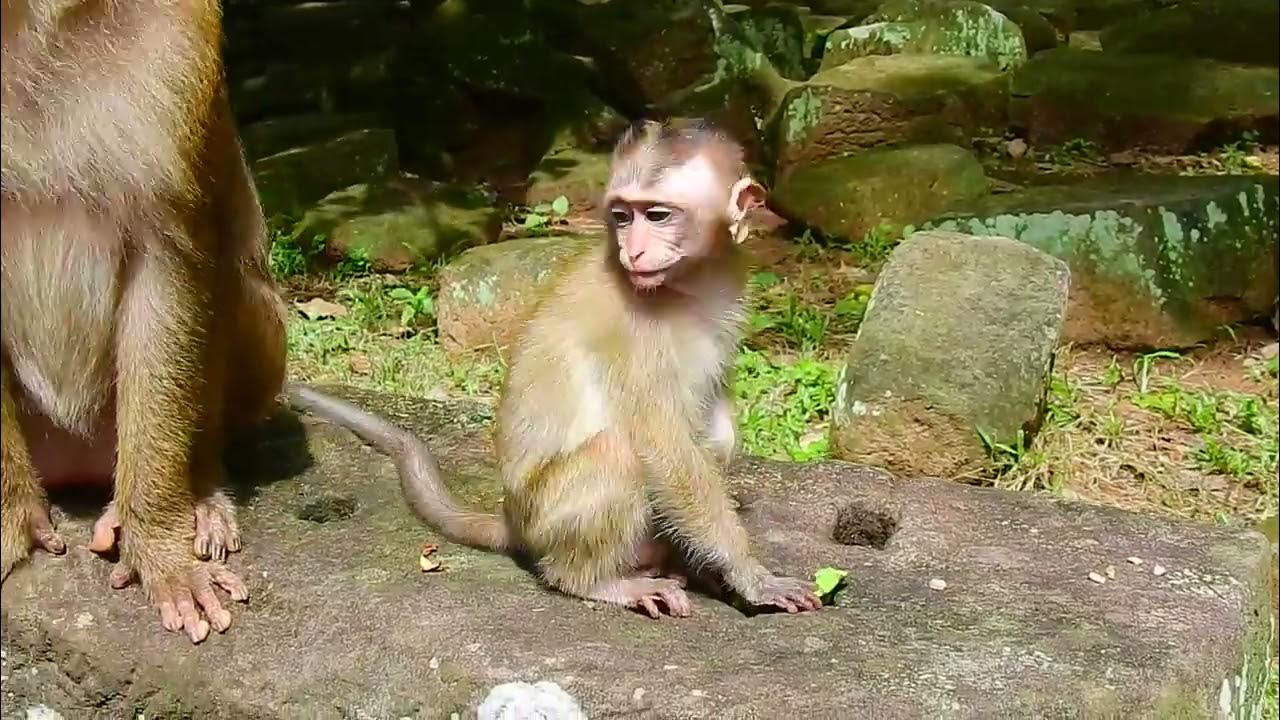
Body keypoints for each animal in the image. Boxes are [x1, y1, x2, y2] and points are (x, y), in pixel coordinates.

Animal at [287, 118, 822, 619]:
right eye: (621, 216)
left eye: (658, 214)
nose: (633, 250)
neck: (689, 285)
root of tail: (514, 522)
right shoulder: (634, 331)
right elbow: (662, 442)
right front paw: (752, 575)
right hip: (551, 517)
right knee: (617, 454)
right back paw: (595, 580)